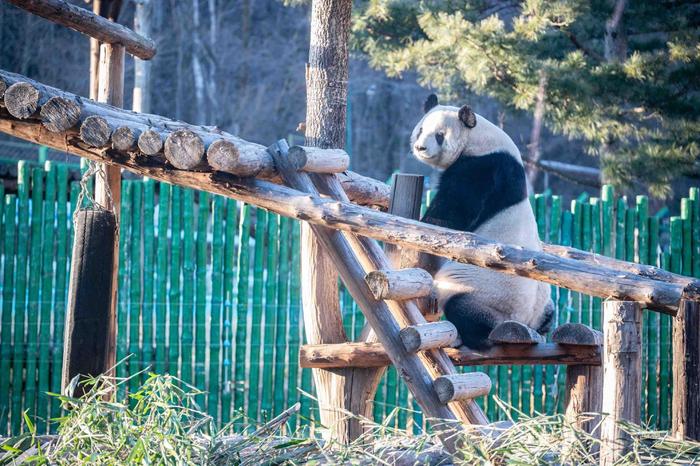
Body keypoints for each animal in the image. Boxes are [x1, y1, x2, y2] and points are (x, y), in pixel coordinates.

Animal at [410, 95, 552, 350]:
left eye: (439, 135)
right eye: (421, 130)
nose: (420, 148)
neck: (478, 138)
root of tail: (524, 322)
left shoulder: (483, 168)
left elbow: (450, 216)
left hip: (484, 292)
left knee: (464, 307)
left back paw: (475, 337)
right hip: (542, 303)